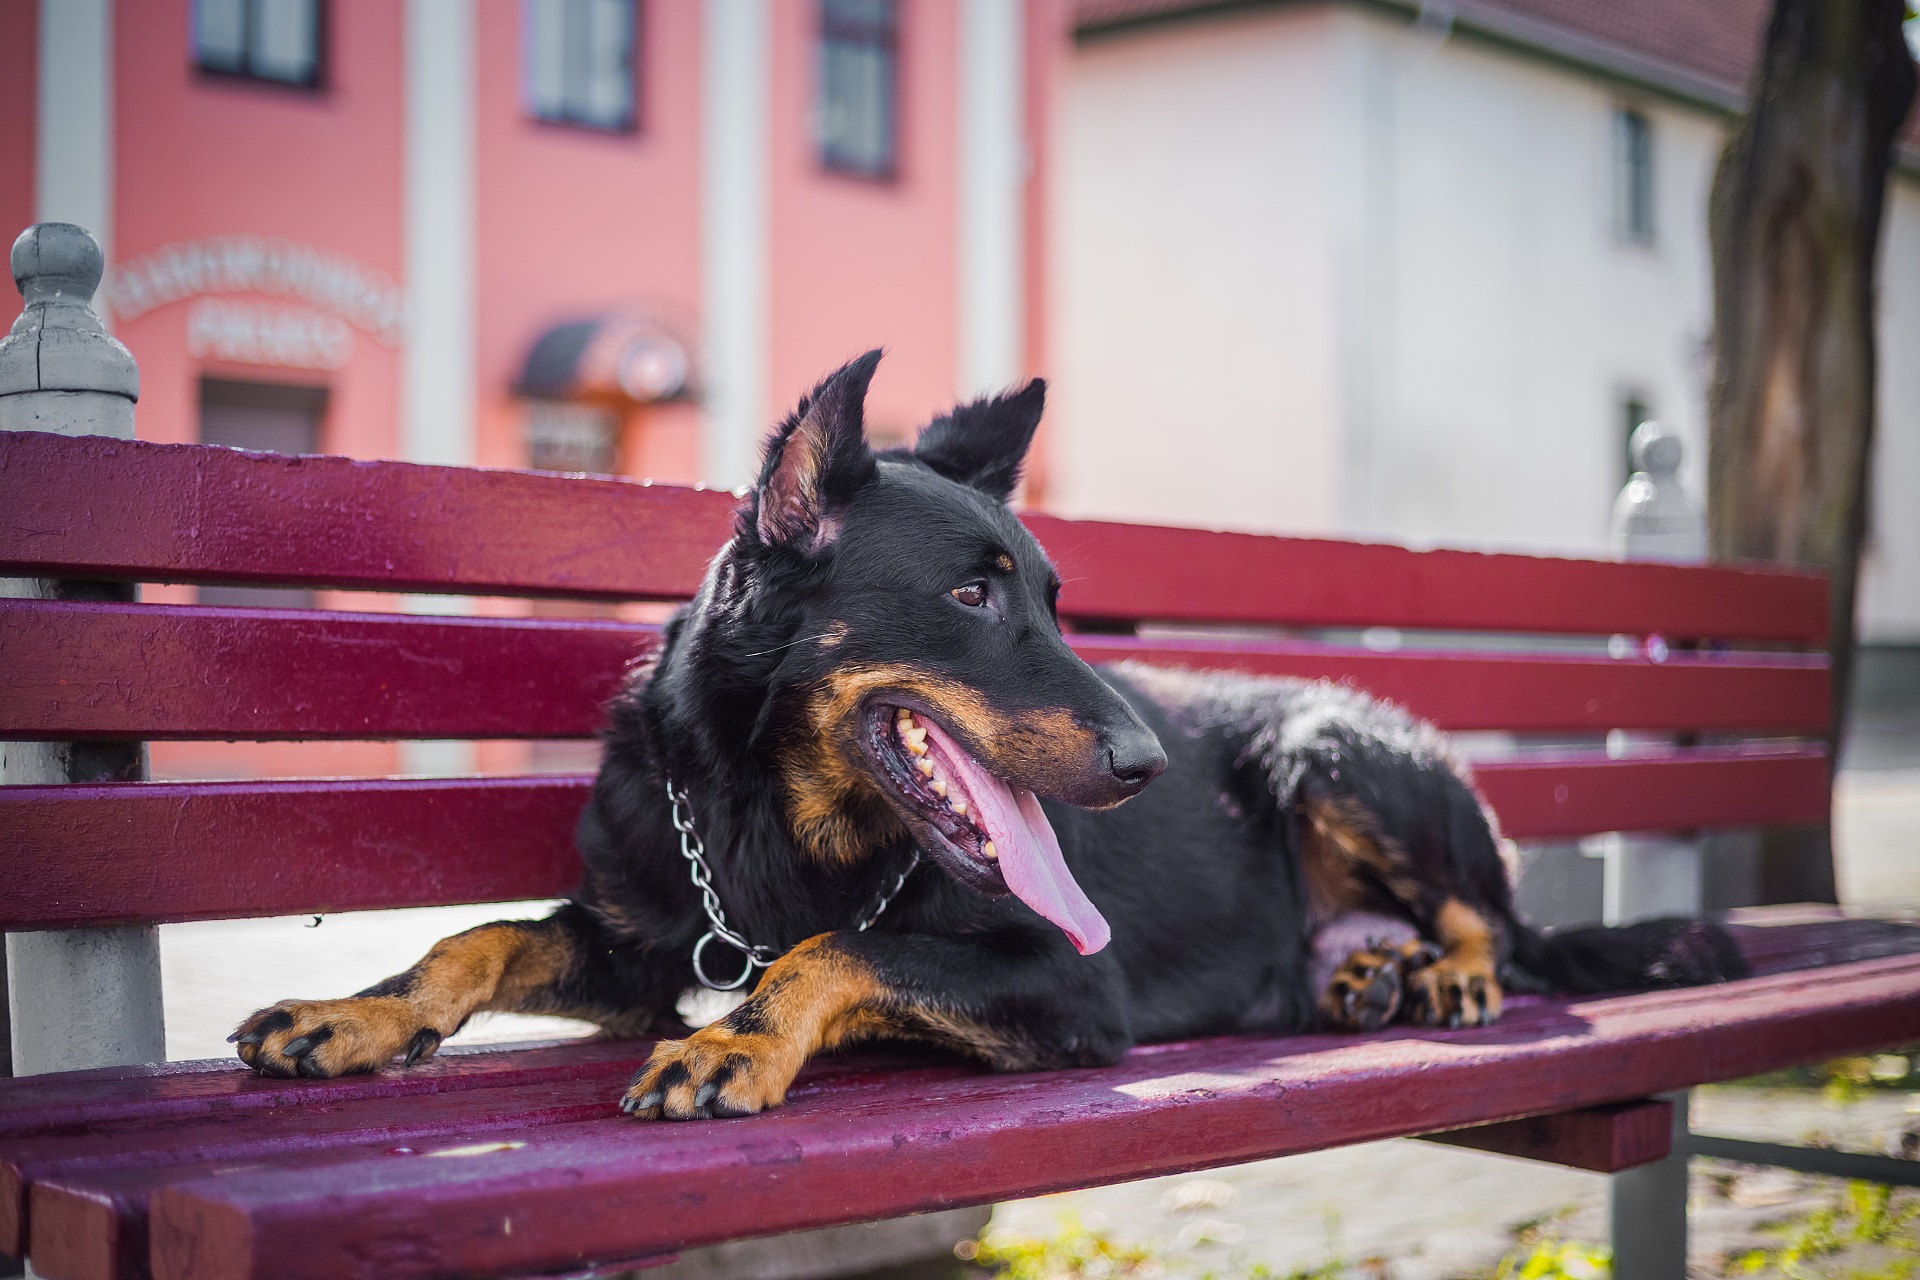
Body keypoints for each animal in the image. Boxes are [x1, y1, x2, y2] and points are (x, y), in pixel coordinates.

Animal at [232, 353, 1751, 1120]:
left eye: (1059, 596)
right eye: (972, 595)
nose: (1148, 768)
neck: (766, 813)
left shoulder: (1069, 983)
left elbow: (838, 947)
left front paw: (741, 1045)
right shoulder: (659, 938)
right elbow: (478, 935)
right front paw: (354, 1014)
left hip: (1339, 747)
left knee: (1500, 922)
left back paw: (1444, 974)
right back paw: (1370, 978)